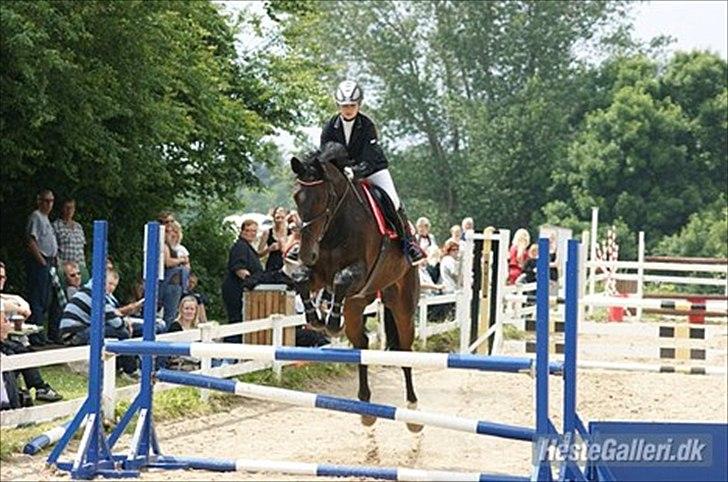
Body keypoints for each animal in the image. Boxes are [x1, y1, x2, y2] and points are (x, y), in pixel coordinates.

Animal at [288, 141, 420, 432]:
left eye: (324, 198)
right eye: (296, 197)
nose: (305, 253)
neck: (335, 225)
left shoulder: (358, 272)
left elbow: (340, 279)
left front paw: (329, 321)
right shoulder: (318, 273)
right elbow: (302, 280)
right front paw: (316, 318)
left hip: (402, 302)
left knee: (405, 350)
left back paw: (413, 412)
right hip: (357, 304)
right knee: (362, 343)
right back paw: (366, 409)